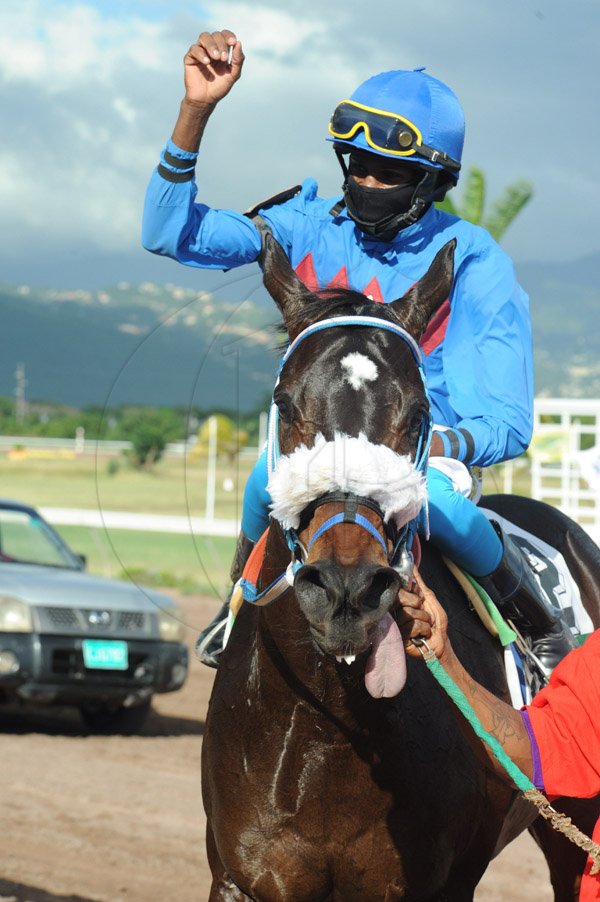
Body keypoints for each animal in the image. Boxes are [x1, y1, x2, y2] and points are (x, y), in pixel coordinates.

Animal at [203, 237, 600, 900]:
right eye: (284, 403)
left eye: (418, 414)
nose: (346, 589)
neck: (328, 731)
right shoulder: (239, 876)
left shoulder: (440, 881)